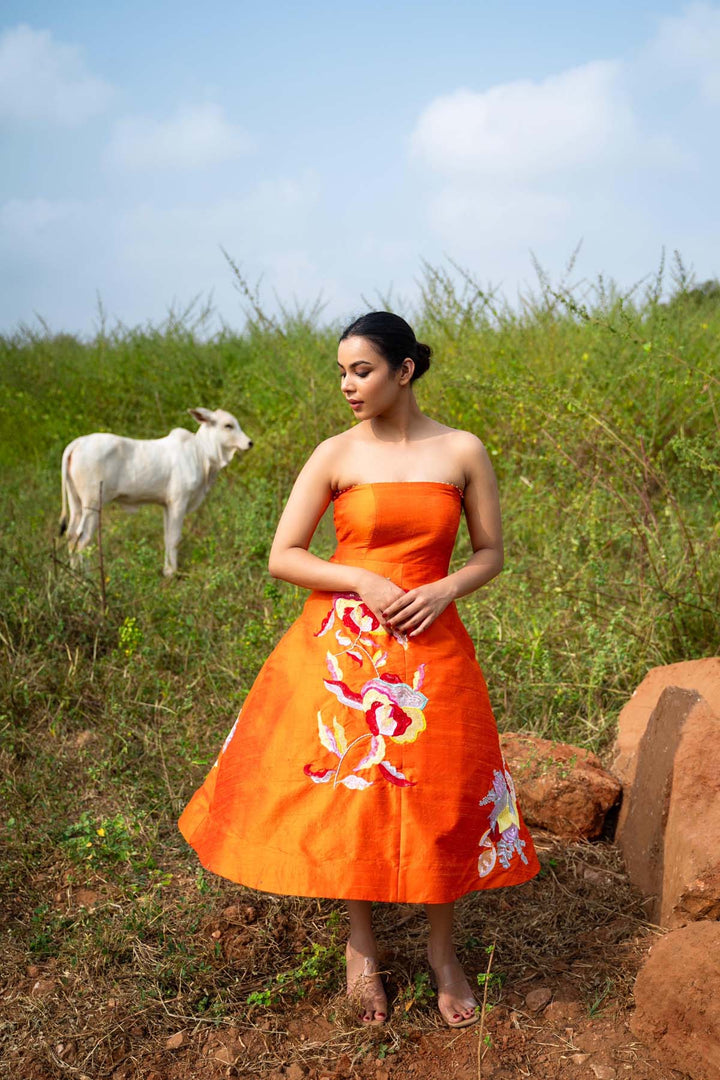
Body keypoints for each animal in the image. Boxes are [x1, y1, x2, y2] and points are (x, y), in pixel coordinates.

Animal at [60, 406, 254, 578]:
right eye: (228, 425)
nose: (249, 443)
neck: (201, 454)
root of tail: (77, 443)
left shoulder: (167, 505)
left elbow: (167, 537)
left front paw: (167, 570)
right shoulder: (178, 502)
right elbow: (175, 538)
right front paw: (172, 573)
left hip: (76, 502)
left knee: (71, 535)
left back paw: (74, 574)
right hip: (92, 504)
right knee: (83, 539)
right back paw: (86, 577)